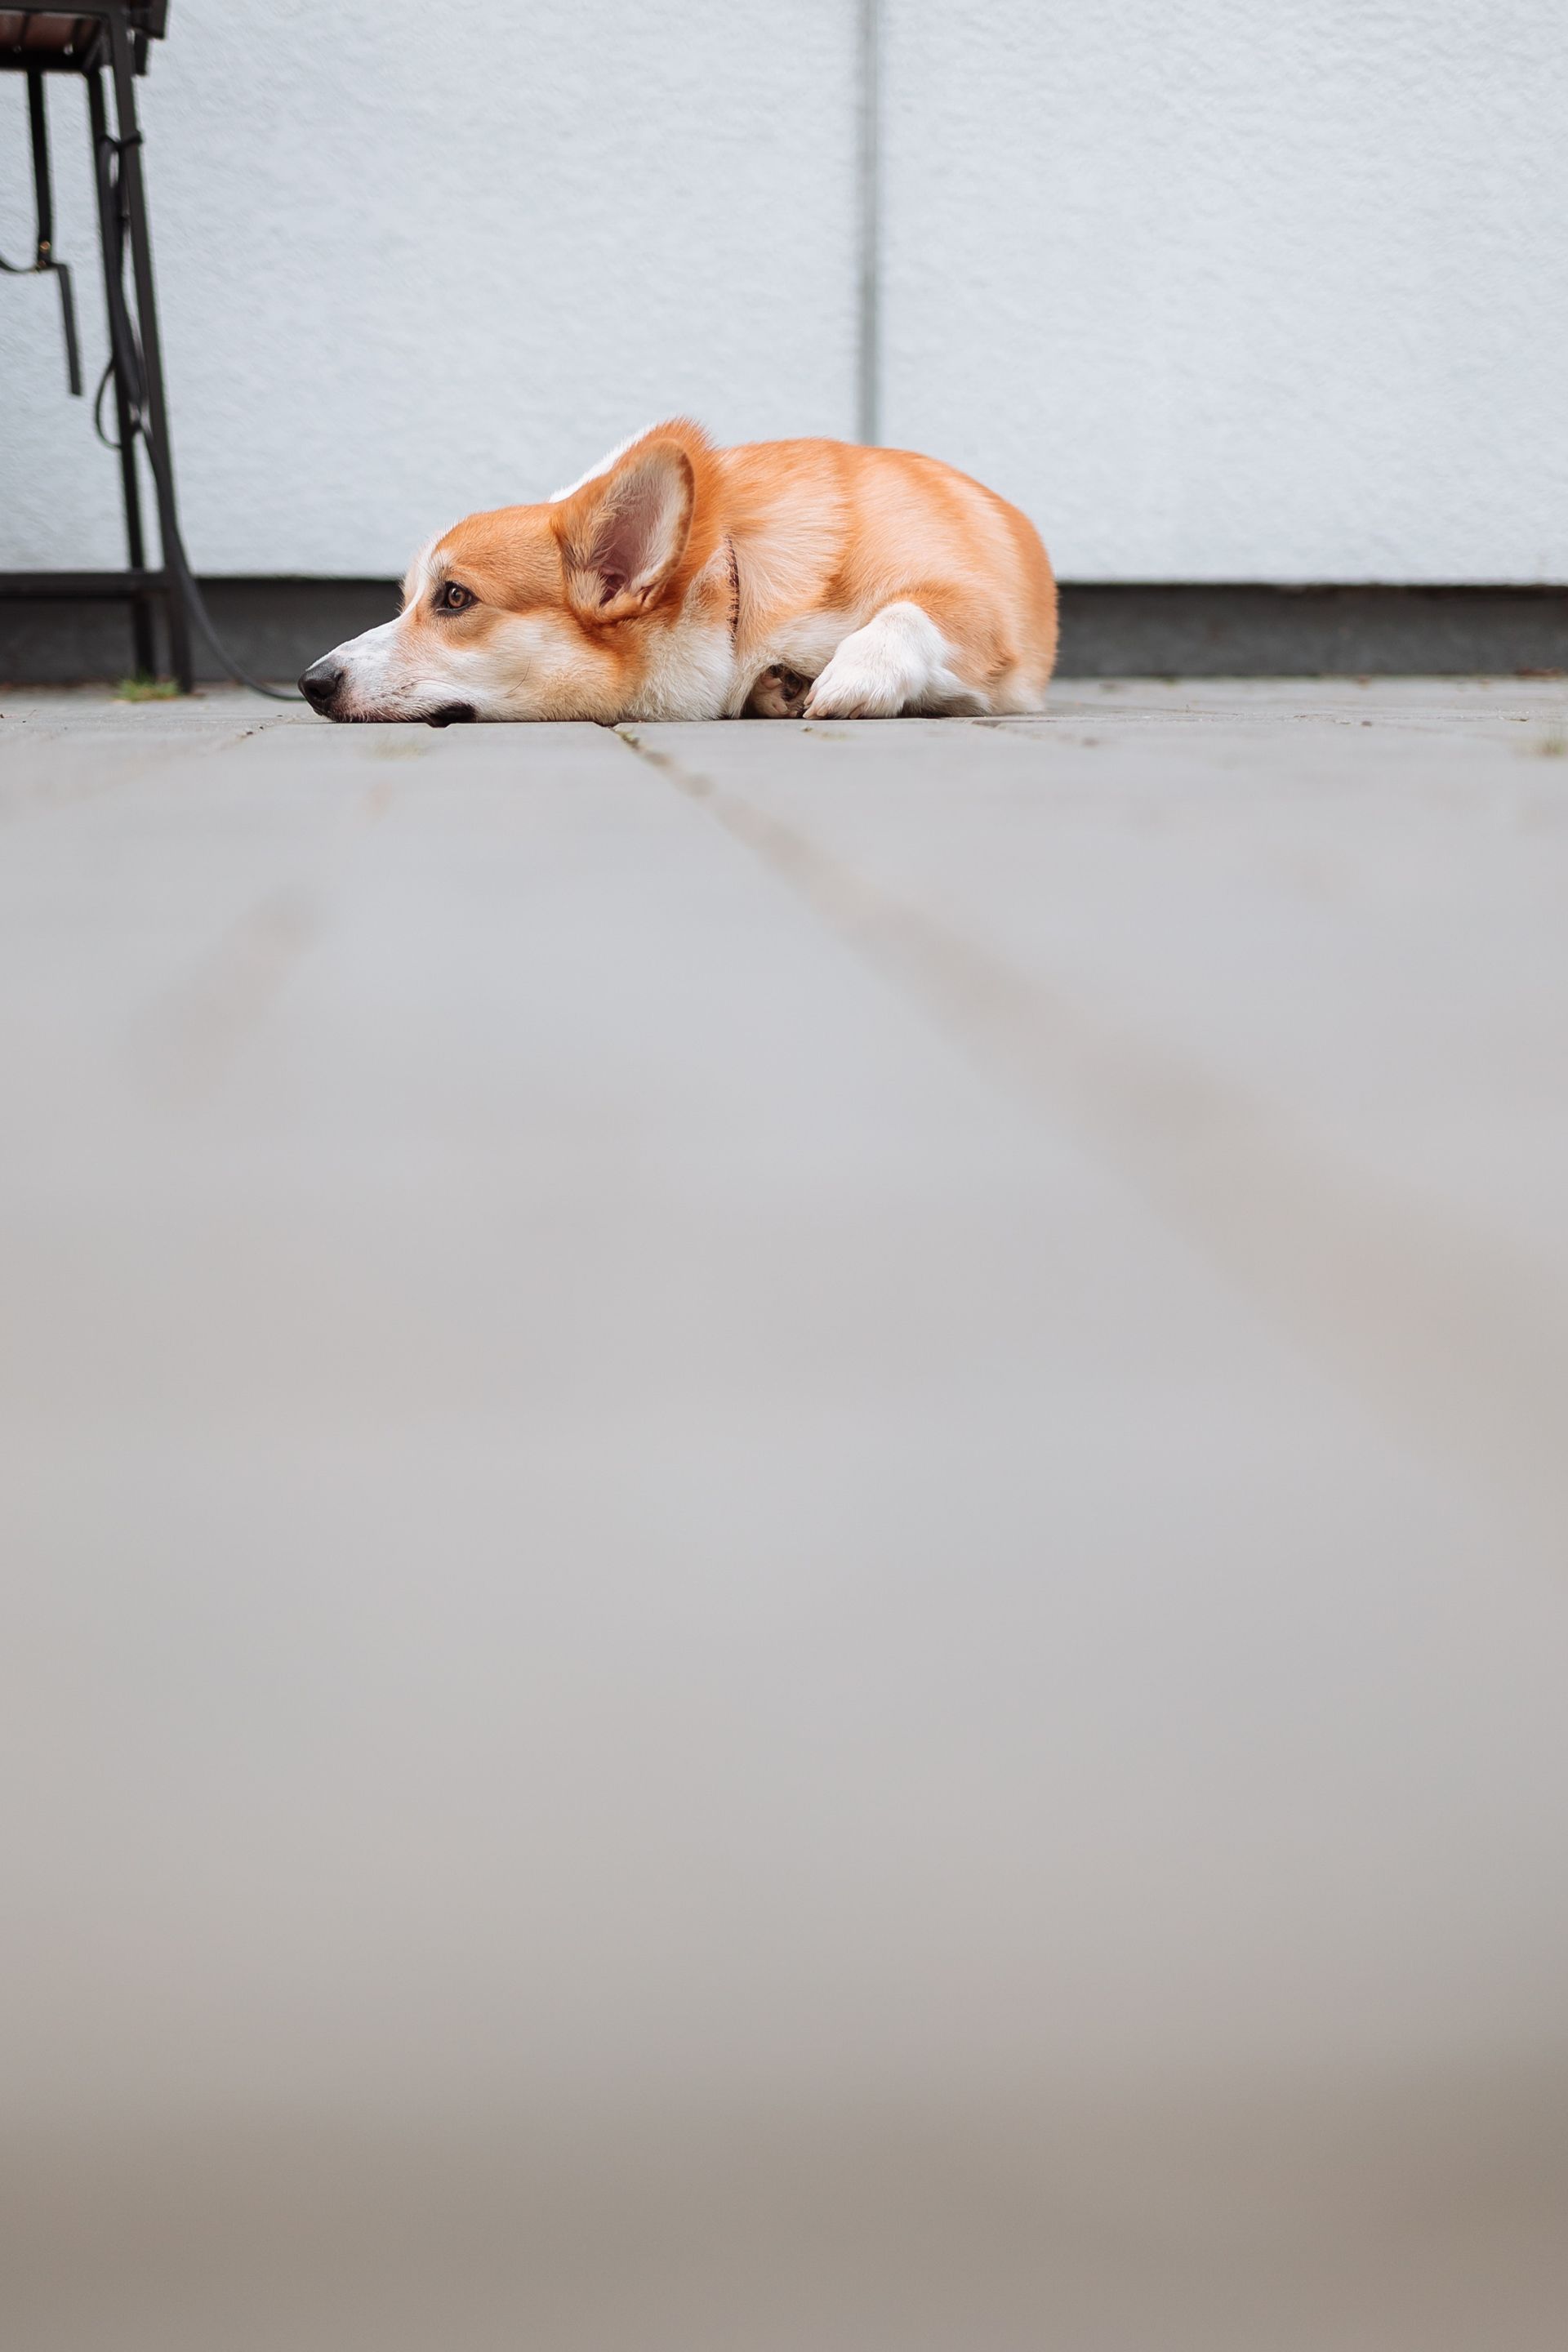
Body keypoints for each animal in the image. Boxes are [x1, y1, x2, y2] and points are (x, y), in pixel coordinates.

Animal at [301, 418, 1062, 719]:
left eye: (455, 597)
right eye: (408, 599)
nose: (311, 683)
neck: (734, 583)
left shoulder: (974, 602)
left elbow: (907, 610)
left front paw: (859, 675)